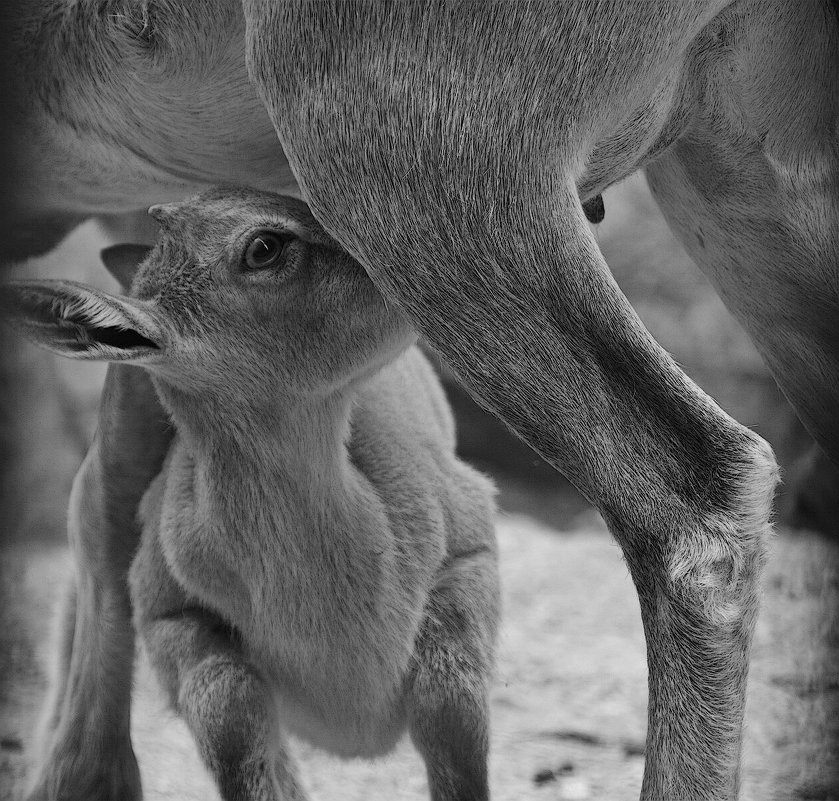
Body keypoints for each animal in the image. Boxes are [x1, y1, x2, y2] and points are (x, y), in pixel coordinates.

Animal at [3, 189, 502, 800]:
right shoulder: (172, 616)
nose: (418, 258)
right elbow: (232, 724)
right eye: (264, 247)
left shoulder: (469, 547)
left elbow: (450, 709)